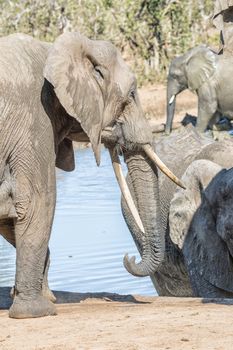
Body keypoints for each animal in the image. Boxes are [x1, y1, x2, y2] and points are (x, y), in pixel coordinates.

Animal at [0, 32, 182, 318]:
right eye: (131, 95)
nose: (129, 257)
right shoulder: (34, 118)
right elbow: (35, 202)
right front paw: (37, 310)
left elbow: (11, 214)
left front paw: (44, 297)